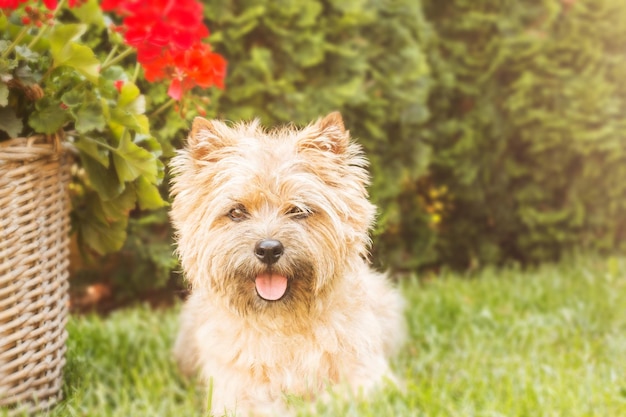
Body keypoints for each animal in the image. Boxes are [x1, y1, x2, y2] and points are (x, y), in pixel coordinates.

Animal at [169, 112, 404, 414]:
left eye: (298, 210)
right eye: (236, 212)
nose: (269, 250)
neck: (282, 321)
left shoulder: (371, 378)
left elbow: (329, 401)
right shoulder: (233, 394)